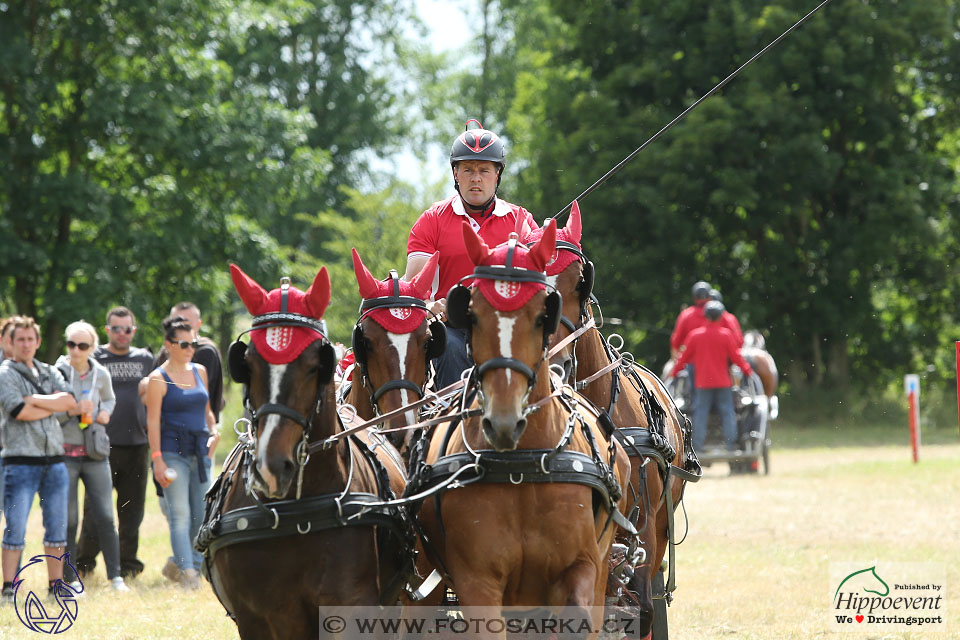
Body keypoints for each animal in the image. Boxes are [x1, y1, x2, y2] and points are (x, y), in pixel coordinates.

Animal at [197, 264, 414, 640]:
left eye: (315, 365)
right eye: (247, 364)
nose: (271, 468)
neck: (295, 511)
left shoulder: (351, 607)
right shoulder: (255, 619)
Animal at [404, 220, 632, 636]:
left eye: (545, 310)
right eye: (472, 313)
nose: (504, 420)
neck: (523, 462)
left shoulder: (582, 566)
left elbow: (577, 616)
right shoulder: (477, 581)